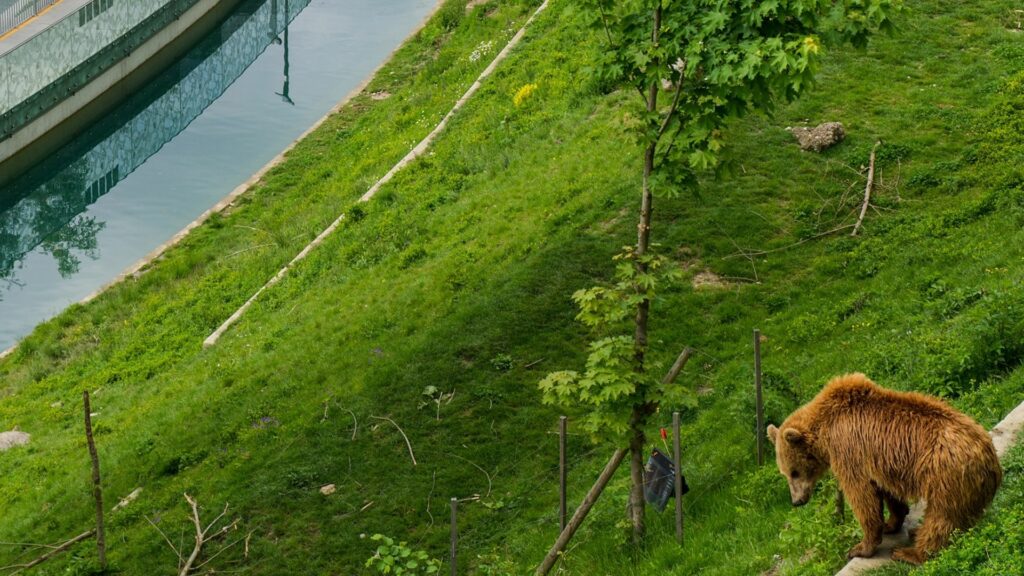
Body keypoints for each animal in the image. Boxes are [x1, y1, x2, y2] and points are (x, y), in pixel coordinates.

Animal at [767, 373, 1001, 565]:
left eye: (795, 472)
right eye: (785, 473)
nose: (797, 501)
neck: (824, 431)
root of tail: (989, 457)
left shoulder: (848, 451)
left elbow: (862, 496)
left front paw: (860, 548)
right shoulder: (881, 463)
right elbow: (886, 491)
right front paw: (891, 523)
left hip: (945, 475)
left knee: (941, 518)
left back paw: (910, 552)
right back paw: (915, 533)